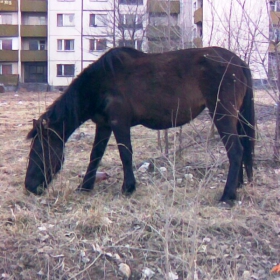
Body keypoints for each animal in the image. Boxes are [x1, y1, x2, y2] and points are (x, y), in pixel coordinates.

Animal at [25, 46, 255, 203]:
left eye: (39, 150)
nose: (29, 187)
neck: (101, 81)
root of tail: (238, 62)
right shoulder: (104, 125)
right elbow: (95, 156)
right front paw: (85, 187)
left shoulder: (119, 122)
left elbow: (125, 154)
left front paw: (128, 188)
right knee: (242, 148)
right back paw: (238, 186)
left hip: (222, 114)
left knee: (235, 150)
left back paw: (227, 196)